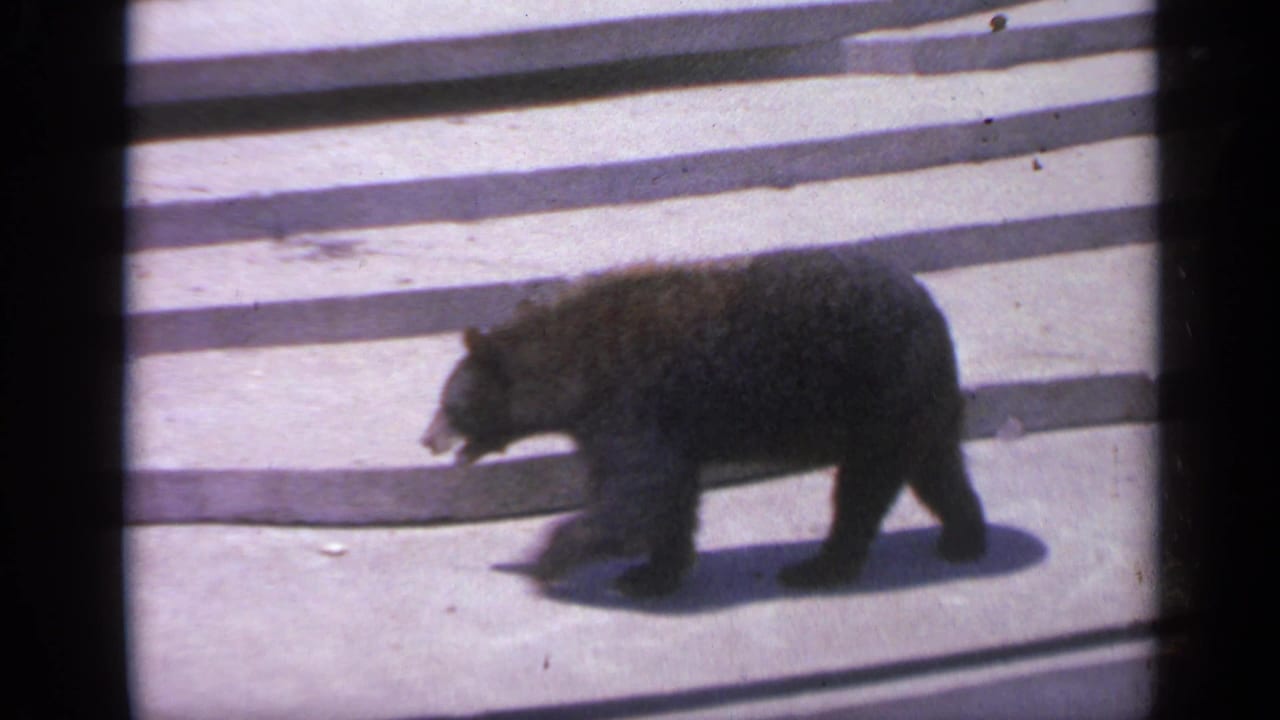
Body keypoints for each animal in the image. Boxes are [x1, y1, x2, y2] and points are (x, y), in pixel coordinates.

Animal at [421, 249, 986, 598]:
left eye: (448, 403)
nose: (426, 439)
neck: (573, 365)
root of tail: (934, 313)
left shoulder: (630, 403)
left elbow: (638, 495)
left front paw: (549, 559)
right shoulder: (647, 425)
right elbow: (668, 497)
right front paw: (653, 574)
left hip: (880, 396)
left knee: (863, 489)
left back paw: (818, 567)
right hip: (913, 405)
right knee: (936, 468)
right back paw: (963, 539)